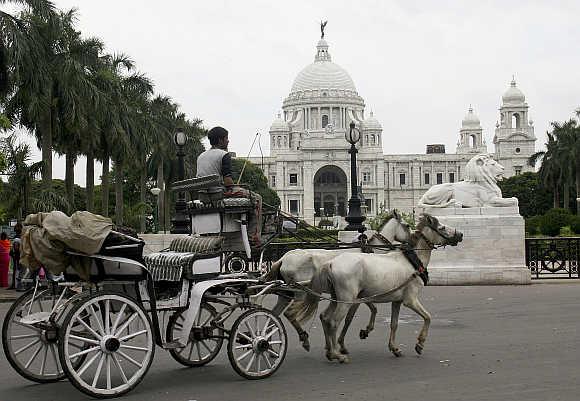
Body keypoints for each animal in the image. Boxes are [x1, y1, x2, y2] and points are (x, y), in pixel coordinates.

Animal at [264, 209, 412, 350]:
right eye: (408, 225)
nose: (412, 242)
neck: (370, 252)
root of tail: (283, 259)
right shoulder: (358, 295)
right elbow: (351, 317)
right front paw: (347, 339)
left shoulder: (361, 294)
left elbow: (373, 309)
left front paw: (364, 331)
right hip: (300, 292)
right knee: (289, 314)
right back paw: (303, 338)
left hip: (286, 294)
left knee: (273, 317)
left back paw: (269, 343)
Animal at [286, 214, 462, 364]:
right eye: (442, 227)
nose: (460, 234)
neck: (411, 260)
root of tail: (330, 263)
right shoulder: (410, 300)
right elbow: (428, 317)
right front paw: (420, 343)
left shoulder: (396, 301)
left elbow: (394, 324)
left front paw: (394, 347)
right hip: (344, 299)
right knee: (332, 321)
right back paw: (335, 353)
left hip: (337, 298)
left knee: (324, 317)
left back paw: (329, 350)